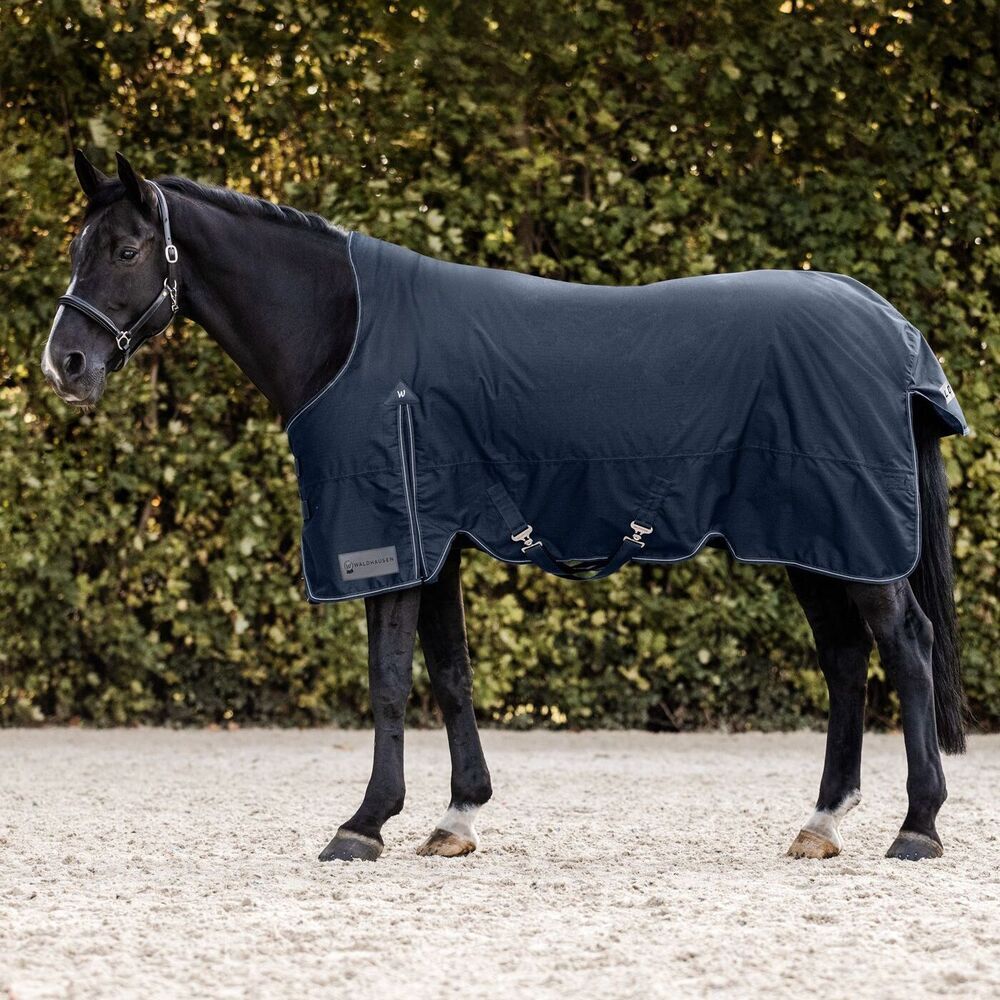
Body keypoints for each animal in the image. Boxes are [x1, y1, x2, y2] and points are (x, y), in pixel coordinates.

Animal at [42, 150, 967, 863]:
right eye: (80, 244)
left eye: (126, 247)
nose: (66, 364)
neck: (349, 336)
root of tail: (889, 326)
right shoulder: (436, 542)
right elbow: (449, 673)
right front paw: (457, 816)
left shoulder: (390, 542)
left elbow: (388, 680)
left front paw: (364, 824)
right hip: (813, 539)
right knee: (846, 658)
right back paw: (822, 822)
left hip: (851, 536)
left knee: (907, 646)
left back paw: (918, 826)